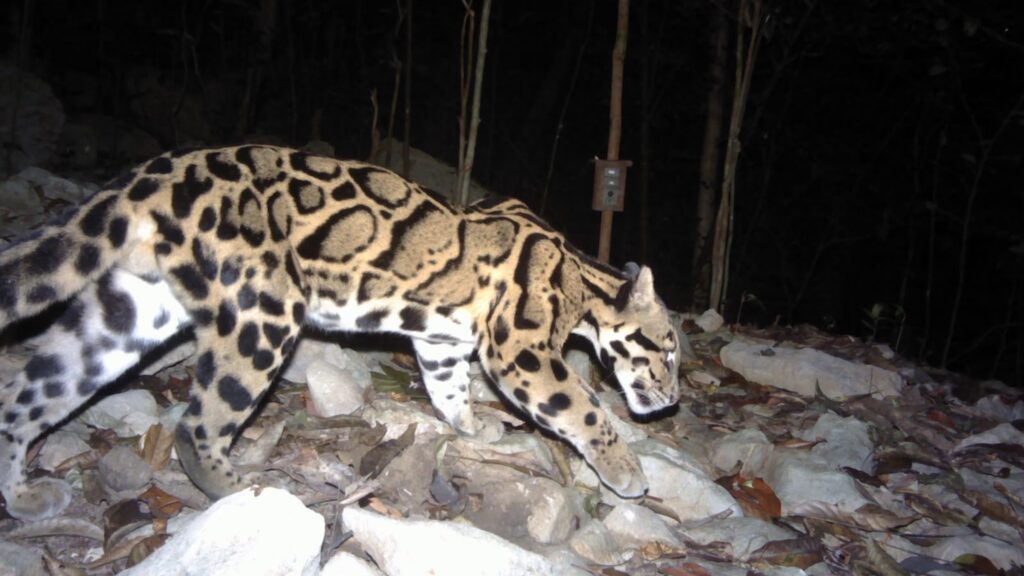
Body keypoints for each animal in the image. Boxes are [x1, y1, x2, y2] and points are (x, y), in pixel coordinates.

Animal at [0, 145, 680, 519]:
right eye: (670, 353)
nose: (673, 400)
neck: (584, 277)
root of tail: (154, 174)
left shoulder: (442, 341)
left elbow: (448, 389)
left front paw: (470, 426)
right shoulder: (521, 349)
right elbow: (584, 410)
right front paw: (625, 471)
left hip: (128, 312)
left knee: (26, 395)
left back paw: (21, 498)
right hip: (264, 312)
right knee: (197, 424)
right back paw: (236, 486)